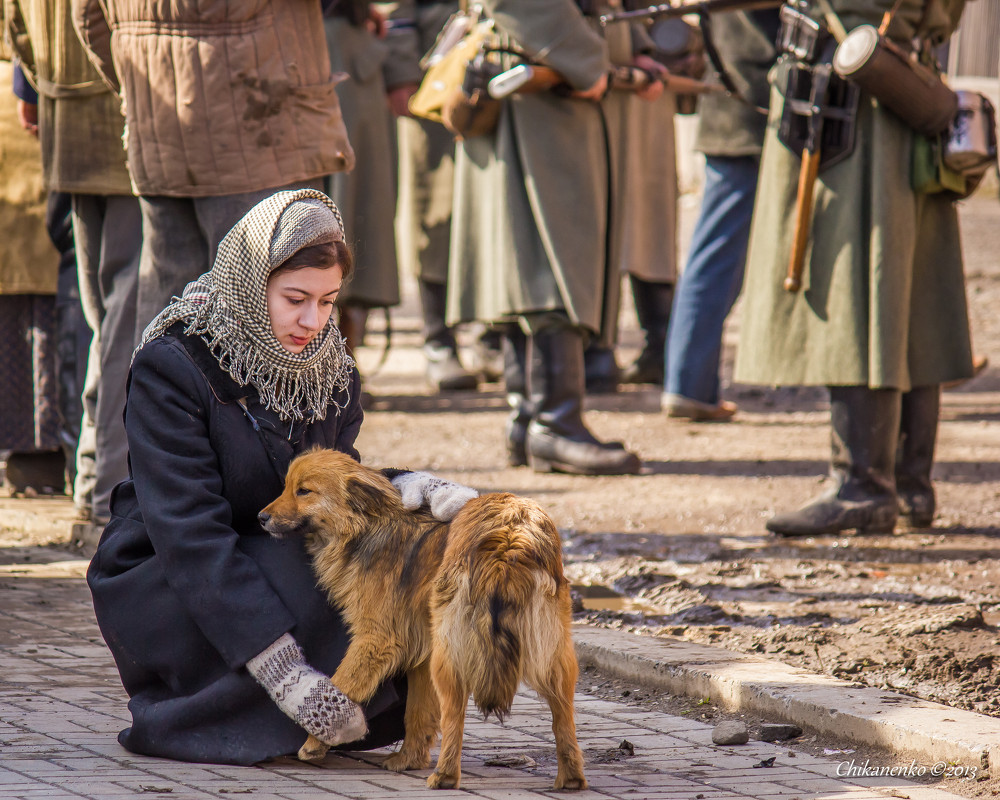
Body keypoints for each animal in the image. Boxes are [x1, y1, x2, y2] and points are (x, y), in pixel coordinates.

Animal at [256, 446, 584, 792]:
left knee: (454, 718)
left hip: (452, 657)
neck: (366, 527)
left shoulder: (377, 640)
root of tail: (510, 534)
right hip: (551, 657)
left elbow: (343, 683)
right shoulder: (423, 653)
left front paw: (319, 735)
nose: (260, 518)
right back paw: (571, 778)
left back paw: (444, 775)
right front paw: (409, 759)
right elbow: (418, 711)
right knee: (563, 716)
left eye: (303, 491)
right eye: (286, 487)